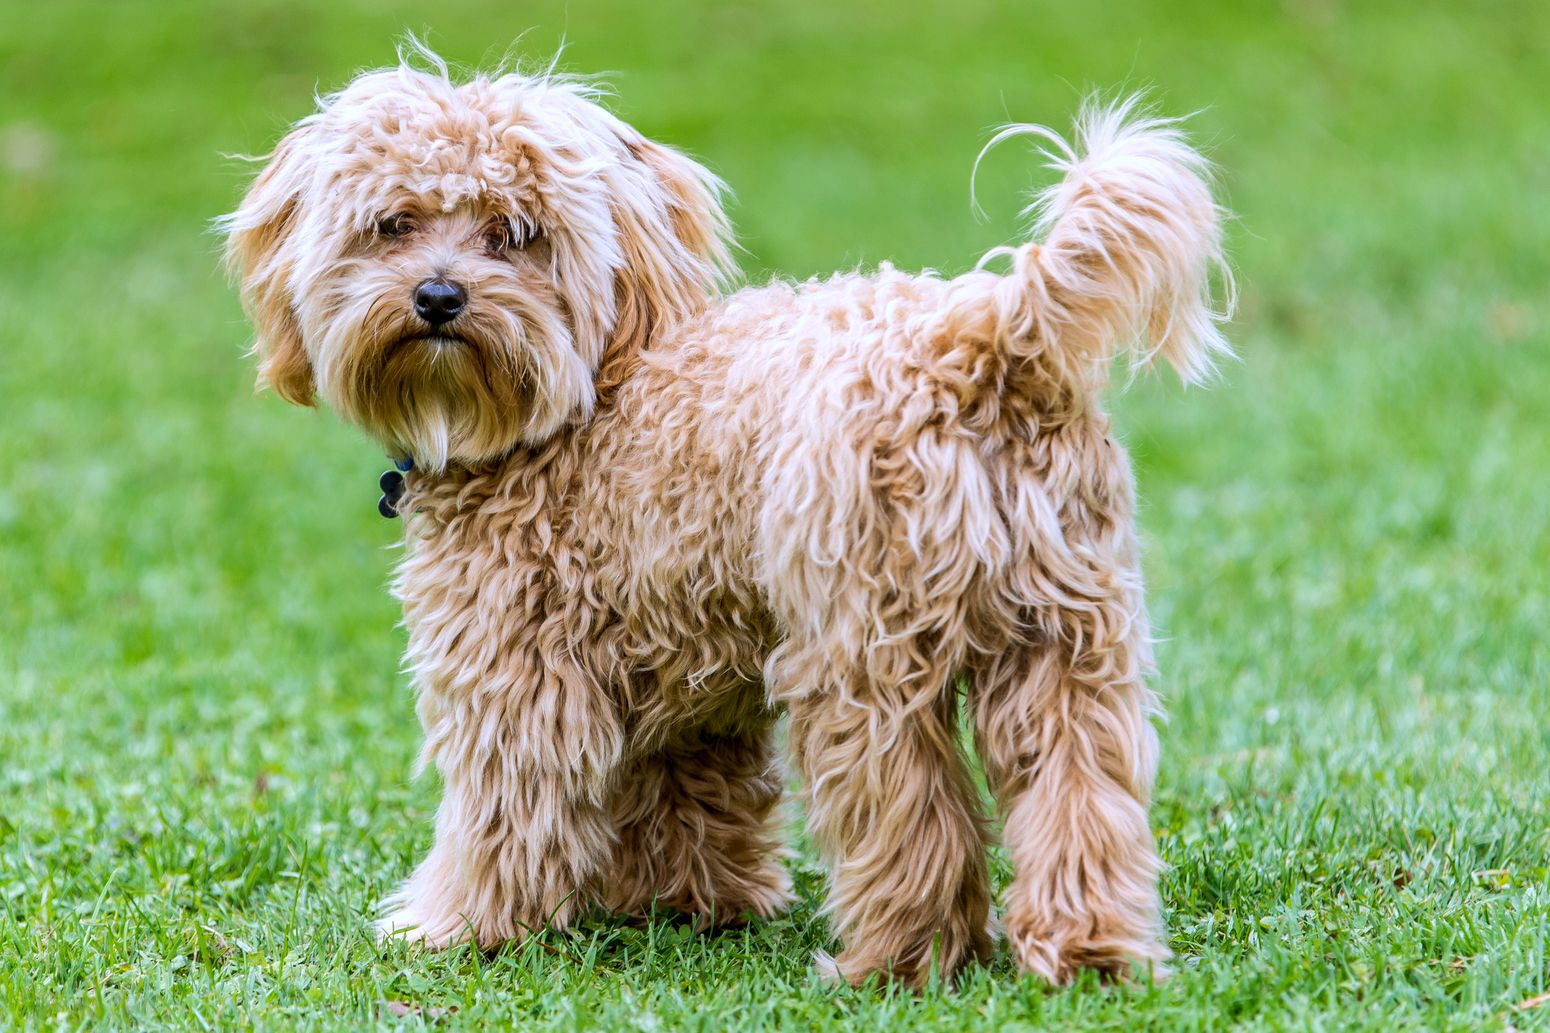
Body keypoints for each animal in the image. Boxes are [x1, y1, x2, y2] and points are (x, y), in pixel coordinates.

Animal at [221, 52, 1233, 986]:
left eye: (516, 235)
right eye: (391, 224)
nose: (437, 297)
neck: (583, 397)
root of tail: (979, 344)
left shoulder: (518, 667)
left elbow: (508, 810)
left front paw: (453, 925)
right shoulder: (687, 681)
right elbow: (691, 796)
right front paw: (689, 906)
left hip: (860, 656)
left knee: (910, 816)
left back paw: (893, 963)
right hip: (1068, 640)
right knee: (1080, 793)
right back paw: (1087, 953)